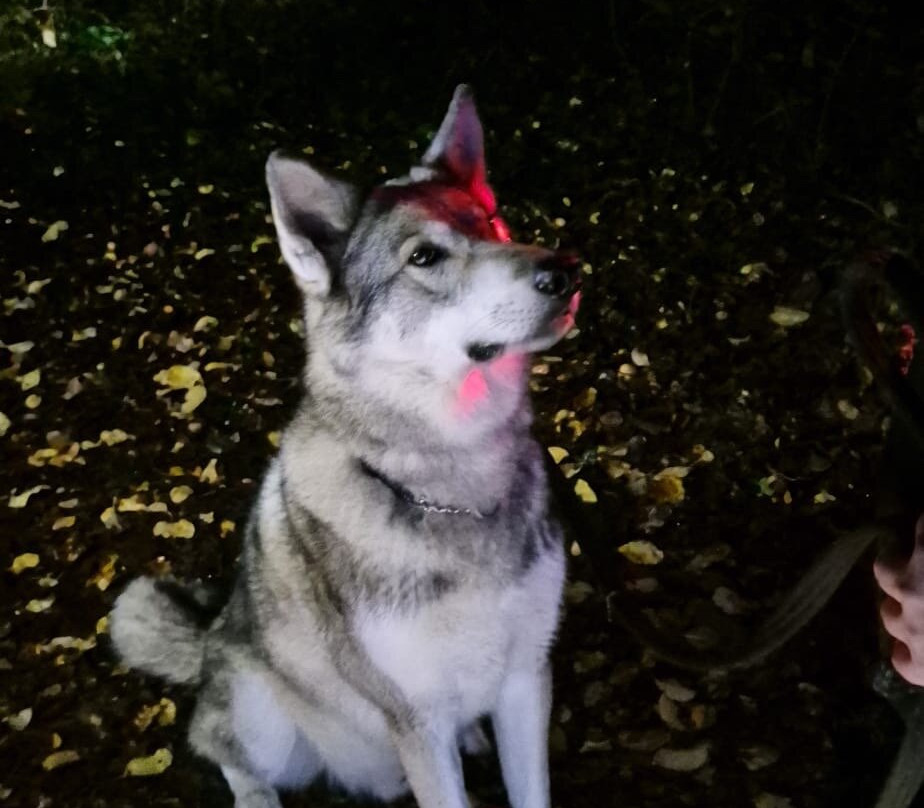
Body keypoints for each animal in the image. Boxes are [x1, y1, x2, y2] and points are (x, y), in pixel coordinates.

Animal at [110, 85, 582, 808]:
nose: (565, 271)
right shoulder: (417, 722)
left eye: (496, 224)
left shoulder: (527, 680)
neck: (452, 481)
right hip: (261, 716)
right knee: (217, 744)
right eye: (424, 257)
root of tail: (213, 635)